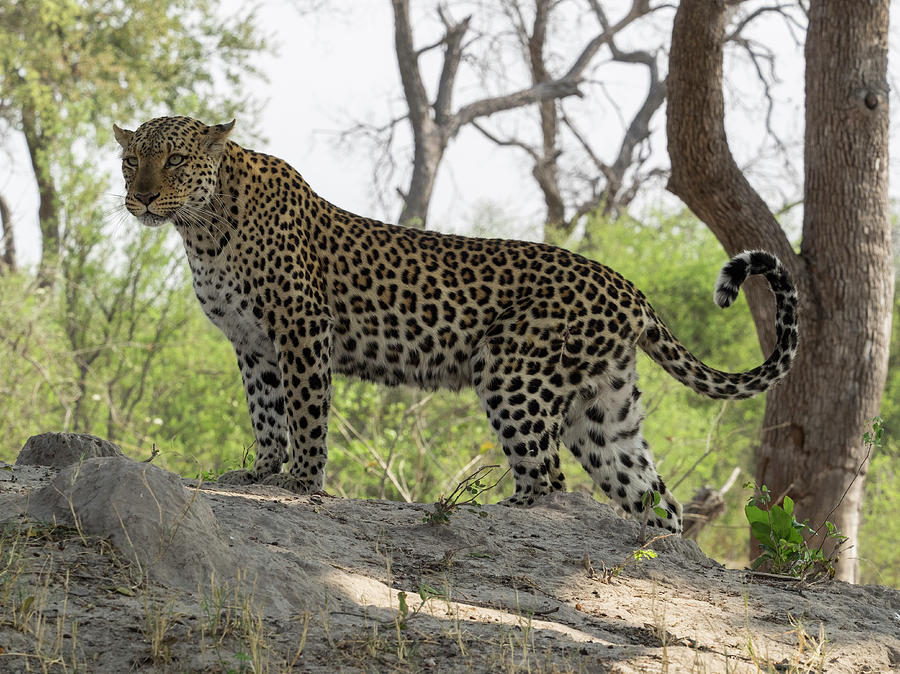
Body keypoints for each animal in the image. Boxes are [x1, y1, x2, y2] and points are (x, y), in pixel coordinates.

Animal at [116, 115, 800, 532]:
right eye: (131, 162)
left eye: (174, 160)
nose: (140, 197)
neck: (202, 228)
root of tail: (628, 286)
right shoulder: (253, 344)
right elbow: (265, 413)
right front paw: (261, 473)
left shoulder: (302, 328)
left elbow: (306, 413)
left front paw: (301, 482)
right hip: (603, 408)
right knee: (654, 497)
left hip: (511, 374)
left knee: (547, 478)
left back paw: (493, 512)